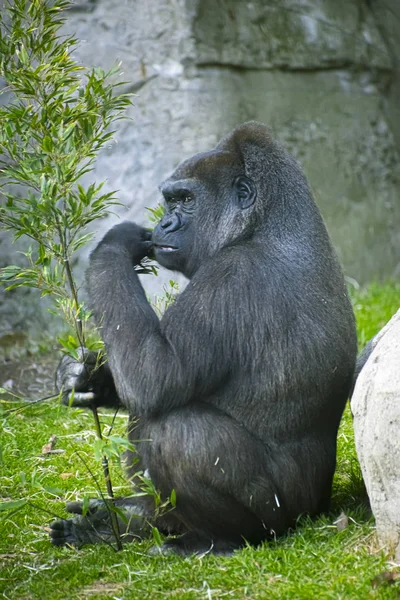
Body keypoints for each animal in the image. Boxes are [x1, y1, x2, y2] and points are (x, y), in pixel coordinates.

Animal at [50, 119, 356, 556]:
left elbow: (155, 376)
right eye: (170, 201)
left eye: (185, 200)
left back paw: (218, 538)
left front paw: (115, 243)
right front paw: (84, 376)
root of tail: (321, 506)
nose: (164, 225)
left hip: (285, 517)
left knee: (174, 429)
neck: (263, 226)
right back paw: (119, 523)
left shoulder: (231, 275)